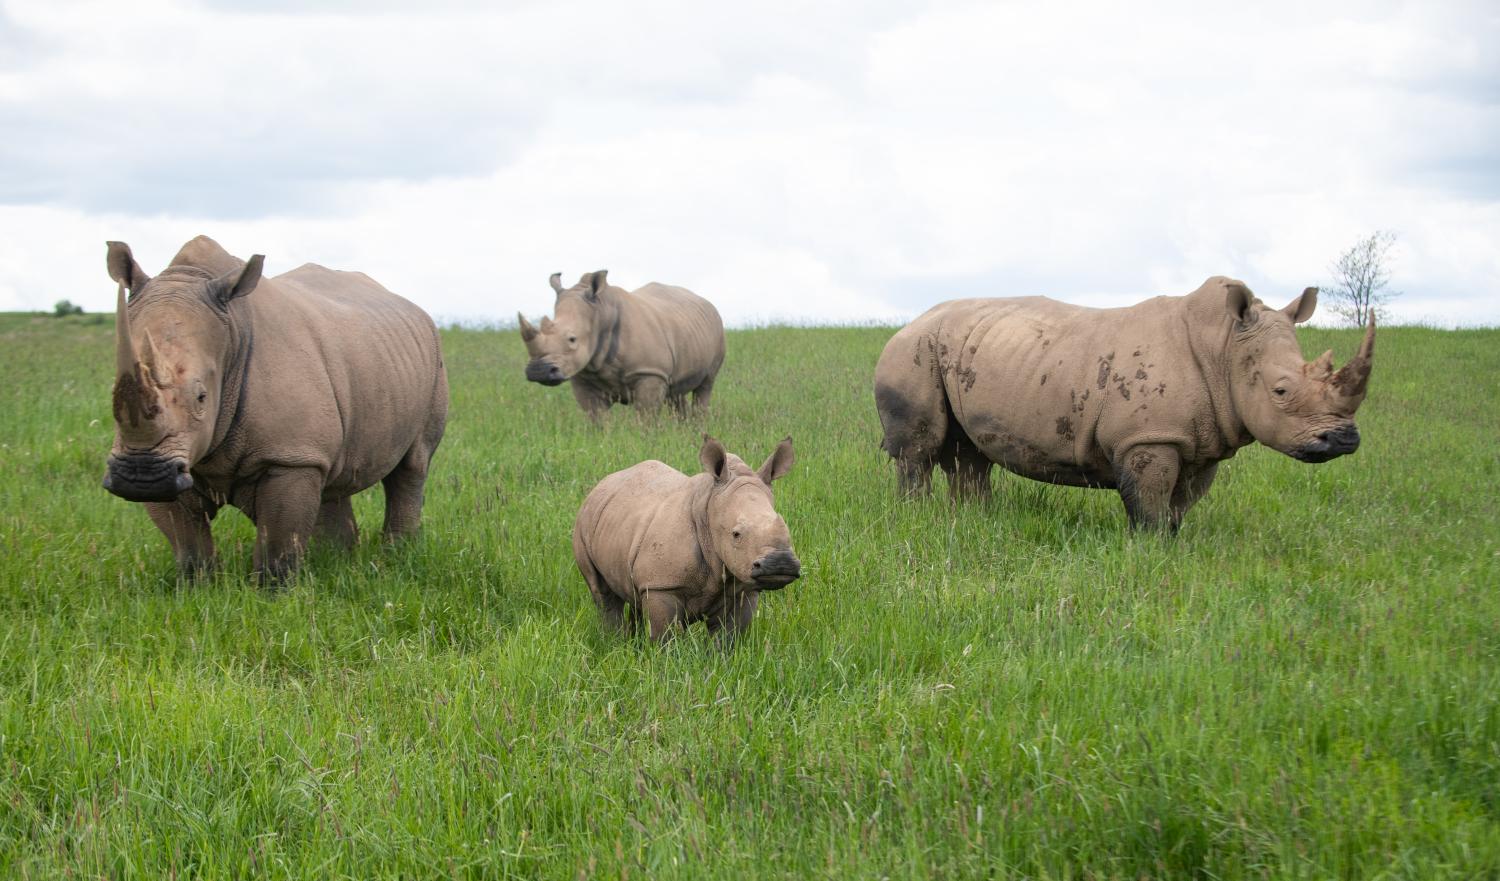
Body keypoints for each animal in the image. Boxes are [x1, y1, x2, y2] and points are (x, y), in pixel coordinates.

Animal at [103, 232, 447, 585]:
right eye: (113, 393)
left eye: (201, 397)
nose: (141, 475)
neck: (232, 334)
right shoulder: (182, 460)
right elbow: (188, 544)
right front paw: (197, 588)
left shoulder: (289, 456)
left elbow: (279, 543)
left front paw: (275, 592)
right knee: (333, 475)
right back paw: (337, 559)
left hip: (432, 361)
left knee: (413, 465)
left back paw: (398, 554)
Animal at [519, 268, 723, 420]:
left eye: (572, 339)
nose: (538, 371)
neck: (600, 313)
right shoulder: (583, 377)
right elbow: (597, 418)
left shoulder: (649, 372)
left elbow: (646, 418)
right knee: (676, 392)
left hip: (716, 328)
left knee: (705, 386)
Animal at [570, 438, 804, 645]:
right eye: (736, 534)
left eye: (786, 528)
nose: (780, 563)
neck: (709, 510)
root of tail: (601, 485)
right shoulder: (662, 585)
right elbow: (665, 639)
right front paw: (665, 664)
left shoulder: (744, 588)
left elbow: (728, 638)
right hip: (583, 523)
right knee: (603, 595)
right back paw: (614, 644)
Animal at [876, 276, 1374, 531]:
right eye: (1281, 391)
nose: (1344, 440)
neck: (1224, 349)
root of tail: (909, 322)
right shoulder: (1147, 438)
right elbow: (1149, 505)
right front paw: (1149, 552)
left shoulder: (1201, 441)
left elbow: (1180, 506)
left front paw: (1174, 546)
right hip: (912, 351)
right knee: (918, 451)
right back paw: (916, 518)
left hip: (964, 347)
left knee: (969, 454)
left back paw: (974, 519)